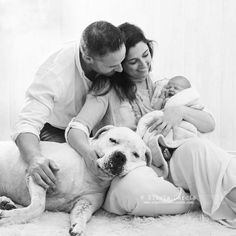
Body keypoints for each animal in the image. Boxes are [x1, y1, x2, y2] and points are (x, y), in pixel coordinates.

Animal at [0, 126, 151, 236]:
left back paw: (5, 202)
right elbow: (38, 207)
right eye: (113, 140)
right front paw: (10, 218)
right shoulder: (38, 175)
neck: (89, 173)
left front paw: (78, 226)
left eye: (136, 154)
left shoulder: (86, 202)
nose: (120, 156)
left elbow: (81, 214)